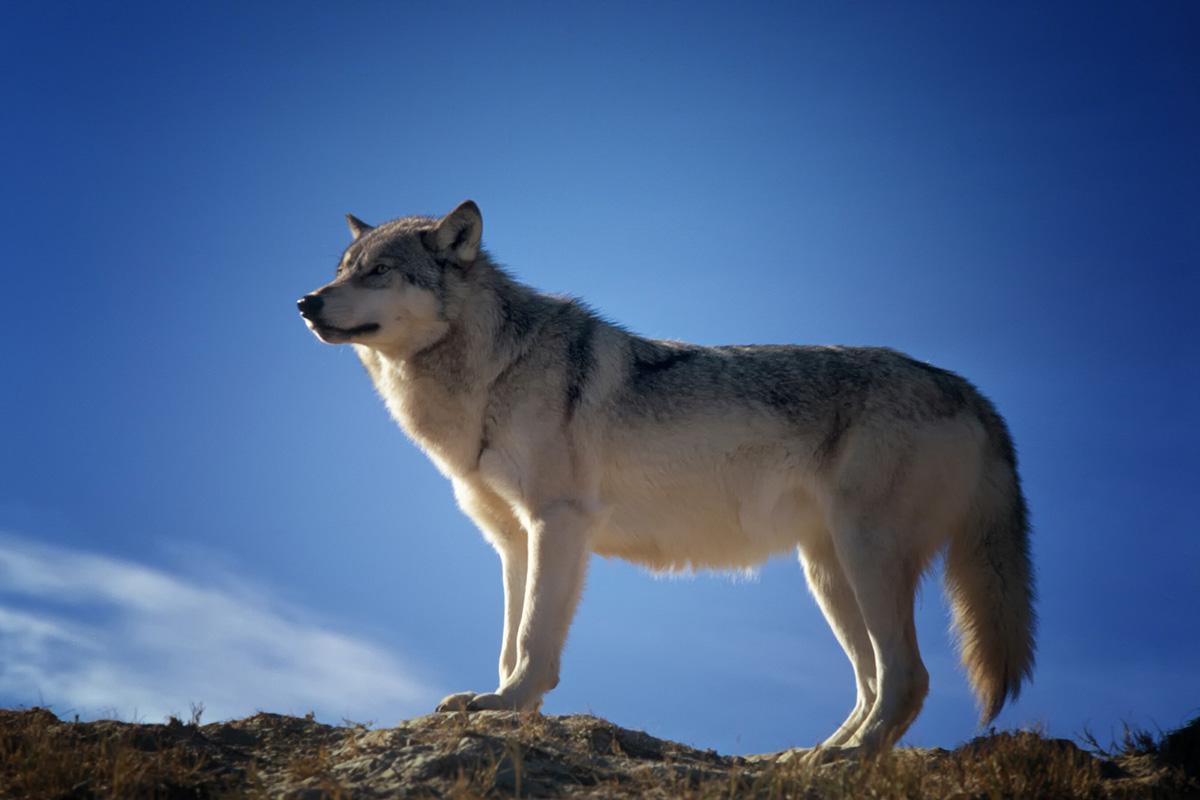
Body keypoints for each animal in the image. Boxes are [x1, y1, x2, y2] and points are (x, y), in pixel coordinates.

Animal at [297, 200, 1035, 753]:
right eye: (343, 271)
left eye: (379, 272)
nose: (306, 302)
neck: (494, 371)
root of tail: (972, 392)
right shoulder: (513, 542)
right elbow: (509, 641)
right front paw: (503, 705)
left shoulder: (558, 524)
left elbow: (534, 638)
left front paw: (507, 706)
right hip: (828, 575)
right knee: (873, 681)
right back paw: (811, 756)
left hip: (866, 559)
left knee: (907, 678)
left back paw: (848, 760)